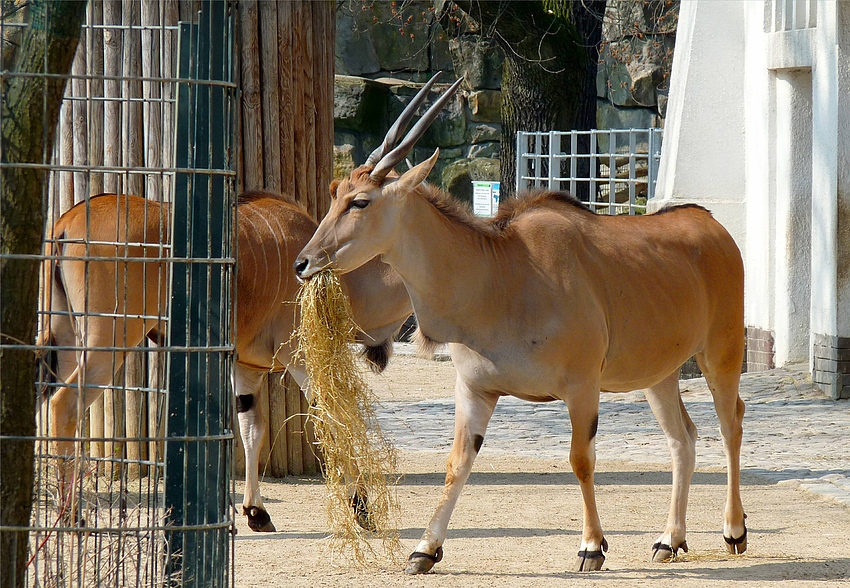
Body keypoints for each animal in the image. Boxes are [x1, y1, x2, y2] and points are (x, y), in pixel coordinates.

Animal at [39, 192, 410, 532]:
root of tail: (66, 221)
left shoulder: (246, 369)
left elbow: (252, 430)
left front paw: (256, 512)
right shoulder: (301, 357)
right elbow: (333, 420)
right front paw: (362, 508)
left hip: (67, 341)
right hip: (109, 342)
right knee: (63, 404)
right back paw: (71, 515)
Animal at [294, 74, 744, 576]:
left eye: (360, 202)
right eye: (334, 193)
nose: (303, 262)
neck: (502, 273)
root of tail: (711, 224)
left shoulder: (581, 387)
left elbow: (581, 459)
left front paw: (592, 547)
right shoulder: (475, 390)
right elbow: (457, 463)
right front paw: (424, 549)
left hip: (720, 355)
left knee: (732, 425)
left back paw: (734, 531)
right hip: (658, 375)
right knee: (682, 439)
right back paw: (670, 539)